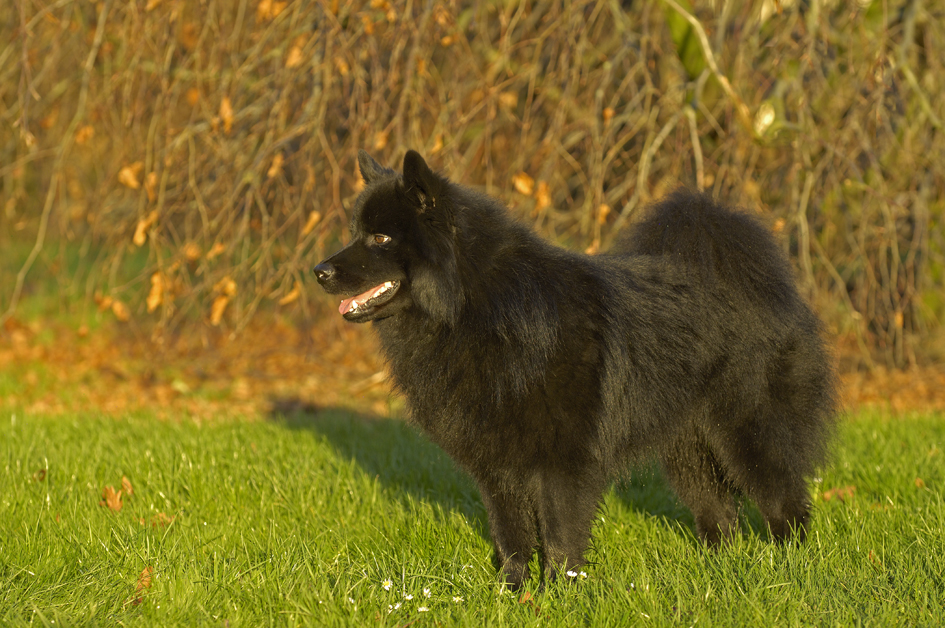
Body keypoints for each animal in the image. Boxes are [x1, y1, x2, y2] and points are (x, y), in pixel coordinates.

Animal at [314, 150, 836, 592]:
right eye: (355, 232)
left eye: (381, 238)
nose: (319, 271)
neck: (476, 309)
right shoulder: (497, 464)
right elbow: (511, 535)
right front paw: (514, 593)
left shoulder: (563, 460)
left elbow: (561, 536)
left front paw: (561, 594)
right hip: (688, 447)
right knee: (720, 515)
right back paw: (719, 570)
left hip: (748, 431)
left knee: (785, 502)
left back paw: (791, 567)